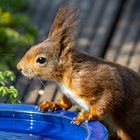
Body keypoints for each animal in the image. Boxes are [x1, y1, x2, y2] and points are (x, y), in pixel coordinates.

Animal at [17, 4, 140, 140]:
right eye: (32, 47)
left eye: (41, 60)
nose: (19, 67)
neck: (64, 77)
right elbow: (67, 105)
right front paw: (53, 104)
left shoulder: (100, 80)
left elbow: (108, 96)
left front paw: (88, 115)